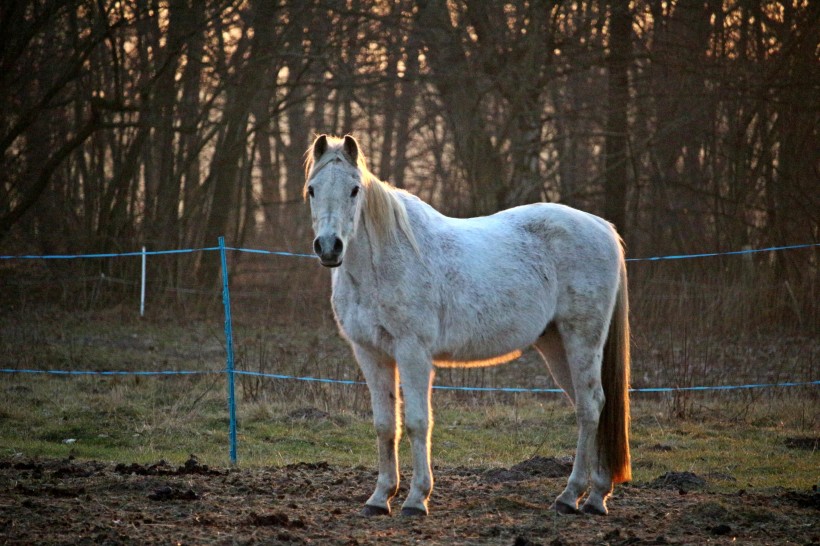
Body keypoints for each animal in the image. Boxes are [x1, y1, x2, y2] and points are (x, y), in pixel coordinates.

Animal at [304, 133, 632, 516]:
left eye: (355, 190)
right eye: (312, 189)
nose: (330, 247)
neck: (385, 259)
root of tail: (602, 227)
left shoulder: (413, 352)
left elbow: (417, 422)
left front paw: (416, 499)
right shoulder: (370, 353)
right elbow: (386, 426)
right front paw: (379, 498)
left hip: (583, 338)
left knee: (590, 407)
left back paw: (573, 495)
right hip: (555, 344)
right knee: (590, 406)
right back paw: (594, 496)